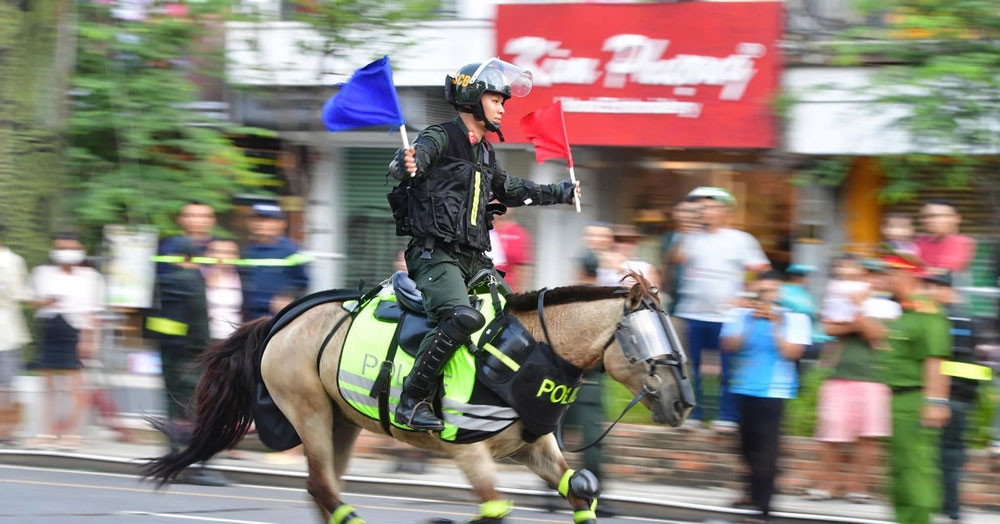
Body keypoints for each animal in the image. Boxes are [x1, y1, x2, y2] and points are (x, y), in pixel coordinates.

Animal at [148, 272, 692, 520]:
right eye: (645, 341)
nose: (682, 402)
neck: (527, 347)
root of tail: (282, 319)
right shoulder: (469, 450)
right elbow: (495, 507)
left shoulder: (533, 445)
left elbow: (580, 490)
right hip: (310, 414)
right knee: (325, 490)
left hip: (341, 423)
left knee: (322, 491)